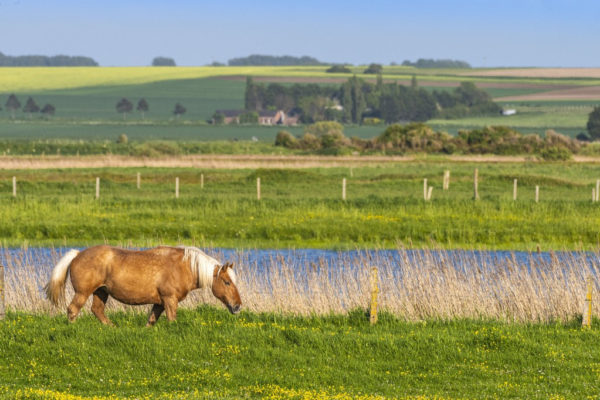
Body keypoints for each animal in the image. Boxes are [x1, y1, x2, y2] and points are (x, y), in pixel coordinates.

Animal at [45, 245, 241, 326]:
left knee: (97, 310)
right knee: (73, 310)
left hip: (101, 292)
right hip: (83, 292)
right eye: (226, 282)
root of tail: (78, 254)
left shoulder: (159, 303)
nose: (237, 306)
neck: (183, 266)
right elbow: (172, 320)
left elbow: (151, 321)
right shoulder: (169, 300)